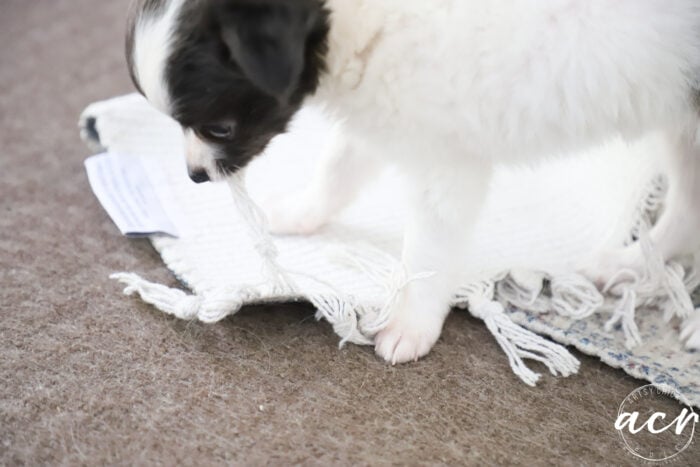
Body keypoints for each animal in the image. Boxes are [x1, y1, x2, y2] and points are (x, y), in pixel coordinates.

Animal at [129, 0, 700, 364]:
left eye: (219, 128)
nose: (195, 176)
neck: (360, 17)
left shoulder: (447, 160)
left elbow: (427, 252)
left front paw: (411, 324)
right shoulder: (385, 114)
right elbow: (339, 165)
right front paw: (300, 213)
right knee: (687, 207)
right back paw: (633, 265)